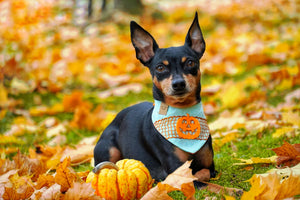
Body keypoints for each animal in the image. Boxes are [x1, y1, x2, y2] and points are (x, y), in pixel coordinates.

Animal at [94, 11, 216, 182]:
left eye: (190, 63)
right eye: (160, 67)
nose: (178, 84)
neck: (182, 110)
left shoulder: (210, 166)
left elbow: (205, 173)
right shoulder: (176, 172)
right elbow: (200, 180)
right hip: (108, 150)